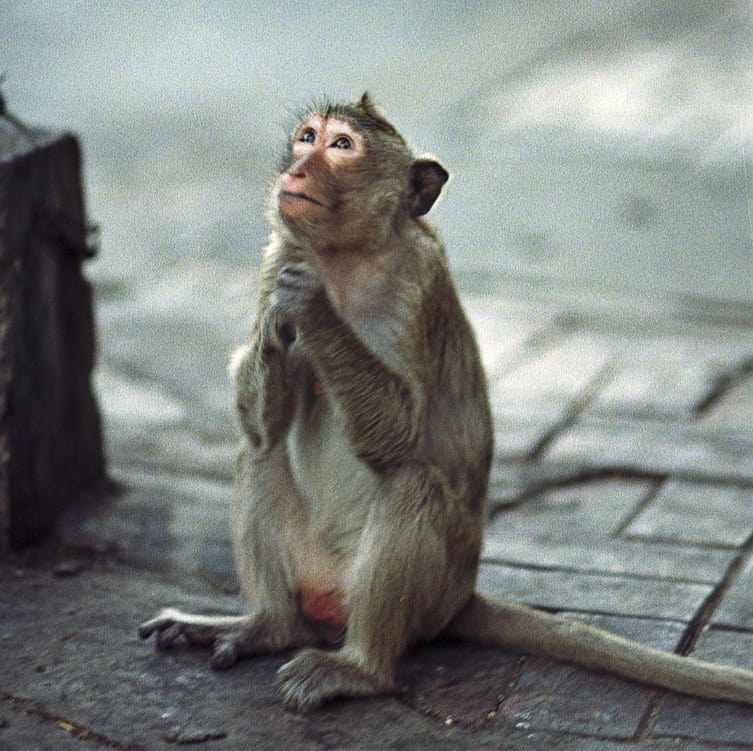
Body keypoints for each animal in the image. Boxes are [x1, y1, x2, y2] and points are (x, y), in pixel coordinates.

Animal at [139, 94, 753, 710]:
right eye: (306, 138)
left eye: (341, 146)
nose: (297, 171)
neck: (345, 258)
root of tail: (461, 597)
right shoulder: (275, 257)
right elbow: (263, 428)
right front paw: (276, 323)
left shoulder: (417, 285)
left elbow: (398, 433)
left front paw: (313, 309)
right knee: (259, 456)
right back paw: (269, 626)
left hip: (431, 591)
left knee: (410, 484)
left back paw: (360, 668)